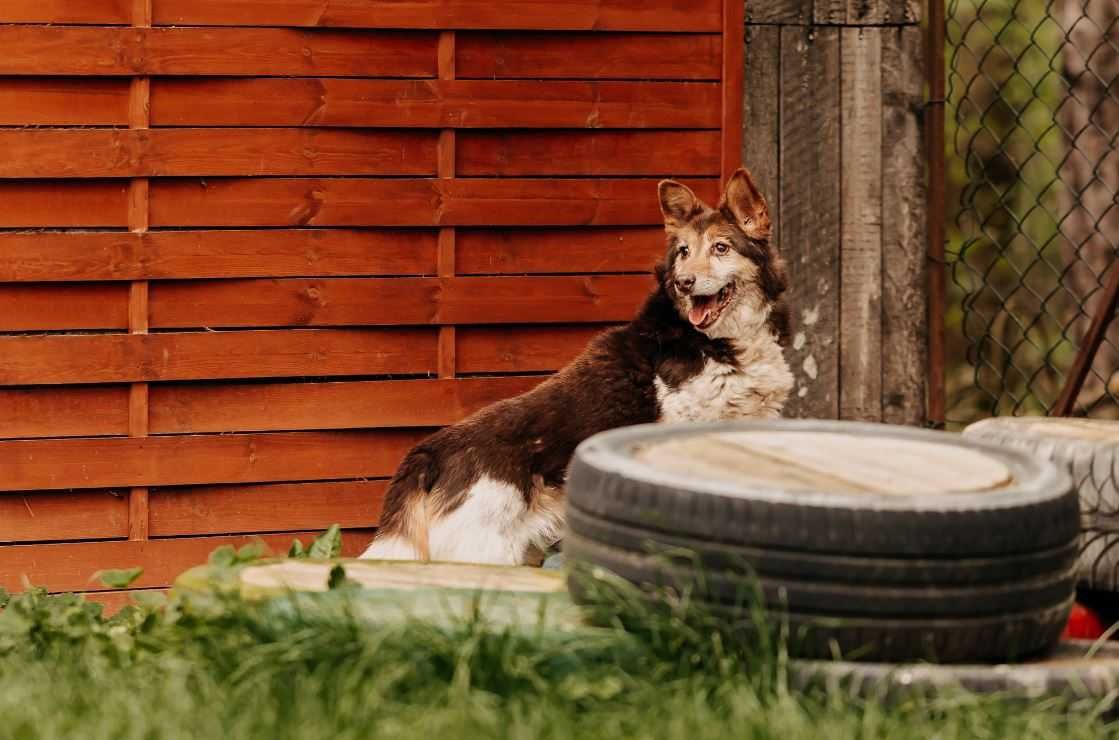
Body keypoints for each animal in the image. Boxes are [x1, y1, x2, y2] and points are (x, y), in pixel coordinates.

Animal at [360, 165, 796, 559]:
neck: (714, 340)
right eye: (684, 252)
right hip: (485, 552)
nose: (683, 283)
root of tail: (430, 452)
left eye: (721, 248)